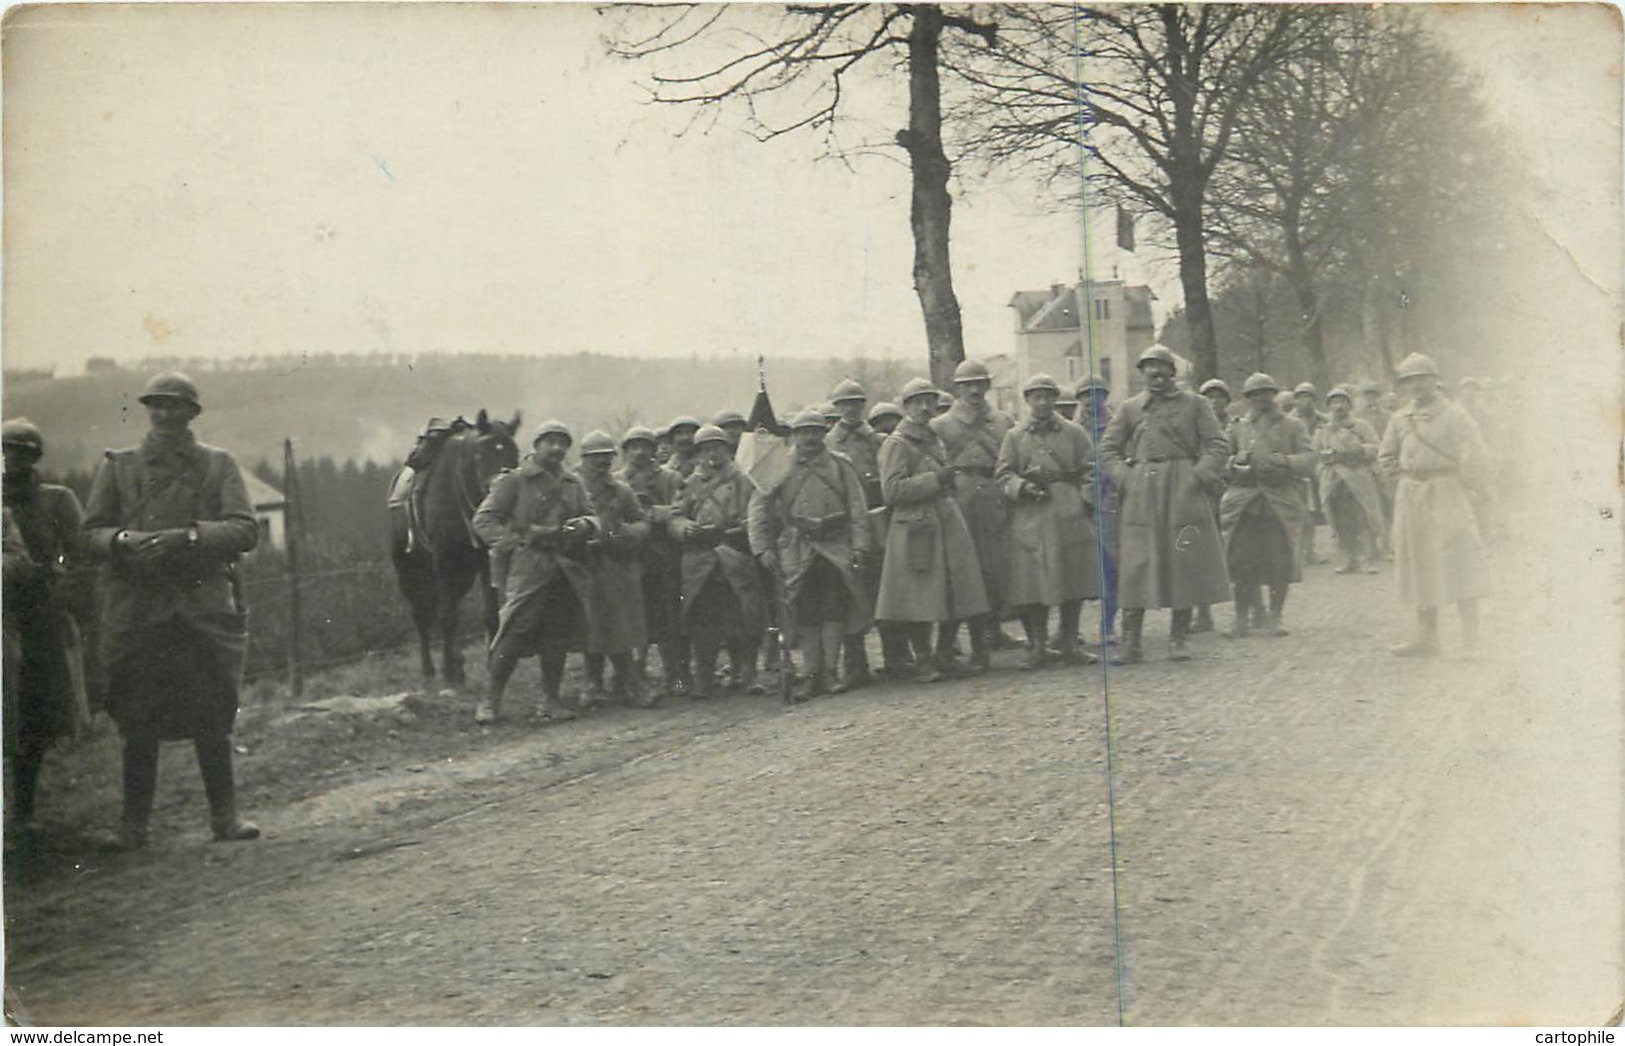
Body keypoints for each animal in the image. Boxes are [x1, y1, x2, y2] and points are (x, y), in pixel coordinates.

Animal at [388, 412, 520, 691]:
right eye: (481, 453)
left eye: (514, 452)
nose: (499, 491)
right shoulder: (443, 560)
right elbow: (446, 615)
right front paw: (449, 673)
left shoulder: (484, 559)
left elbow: (489, 614)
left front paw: (490, 664)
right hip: (409, 569)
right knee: (422, 614)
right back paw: (429, 671)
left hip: (463, 571)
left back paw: (457, 664)